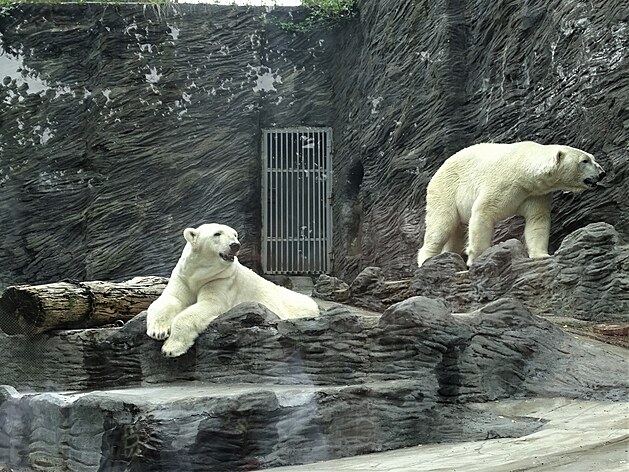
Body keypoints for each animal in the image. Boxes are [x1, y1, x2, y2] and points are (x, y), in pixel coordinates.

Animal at [144, 223, 316, 356]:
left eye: (235, 234)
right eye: (217, 233)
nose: (235, 245)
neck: (200, 274)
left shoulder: (221, 279)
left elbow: (210, 304)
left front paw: (170, 348)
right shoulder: (183, 276)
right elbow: (171, 298)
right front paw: (158, 331)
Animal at [418, 140, 604, 268]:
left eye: (592, 158)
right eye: (584, 161)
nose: (602, 172)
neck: (524, 171)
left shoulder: (536, 194)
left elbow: (537, 221)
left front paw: (542, 255)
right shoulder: (503, 182)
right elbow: (483, 212)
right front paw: (476, 258)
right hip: (445, 190)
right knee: (442, 225)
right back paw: (427, 259)